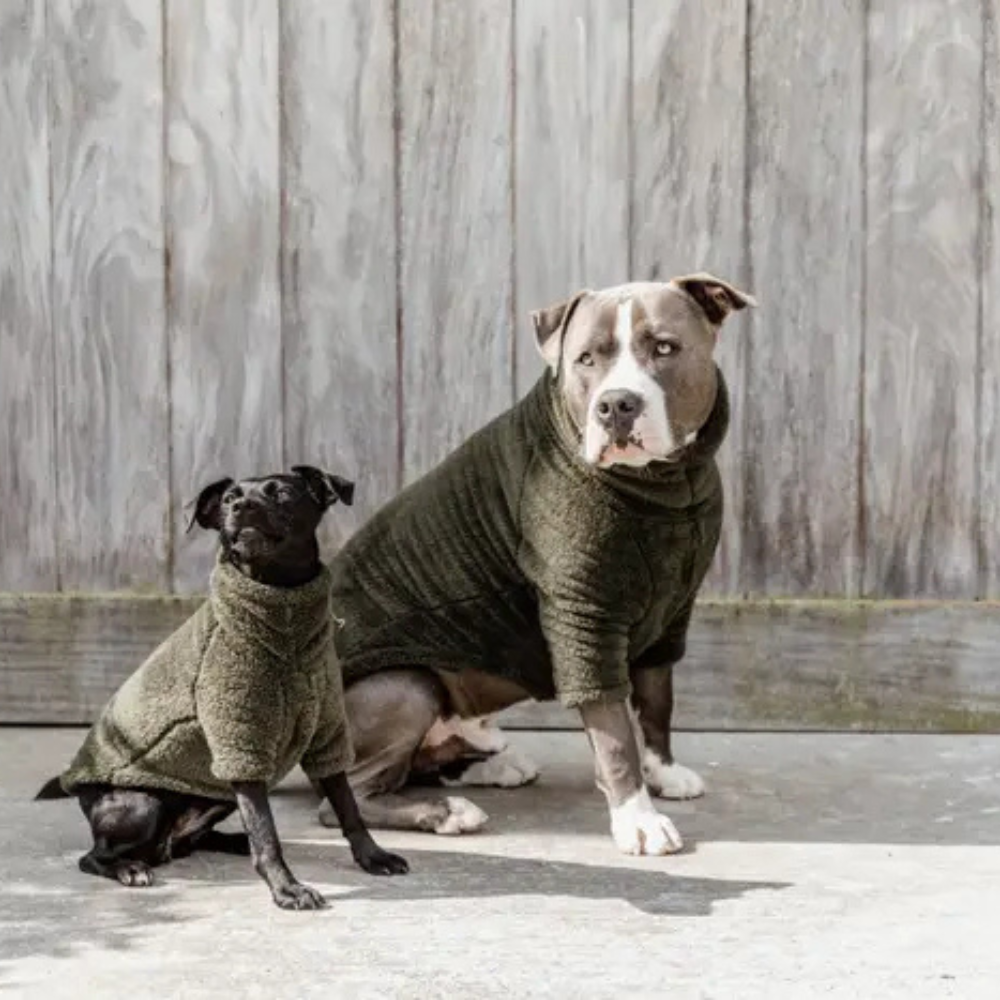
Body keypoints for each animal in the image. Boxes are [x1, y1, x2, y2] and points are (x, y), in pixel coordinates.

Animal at [36, 466, 408, 909]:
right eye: (229, 499)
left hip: (215, 796)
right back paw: (130, 868)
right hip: (142, 805)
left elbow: (348, 807)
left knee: (188, 842)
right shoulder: (239, 743)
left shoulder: (327, 732)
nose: (242, 506)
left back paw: (226, 843)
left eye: (282, 493)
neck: (283, 612)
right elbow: (266, 833)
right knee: (93, 856)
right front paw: (287, 888)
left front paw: (373, 857)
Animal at [319, 274, 755, 854]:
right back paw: (447, 812)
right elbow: (615, 732)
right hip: (406, 686)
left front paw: (663, 772)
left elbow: (657, 700)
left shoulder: (673, 611)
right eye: (586, 359)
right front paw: (637, 818)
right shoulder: (584, 616)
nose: (615, 405)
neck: (663, 485)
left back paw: (490, 765)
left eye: (664, 347)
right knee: (349, 797)